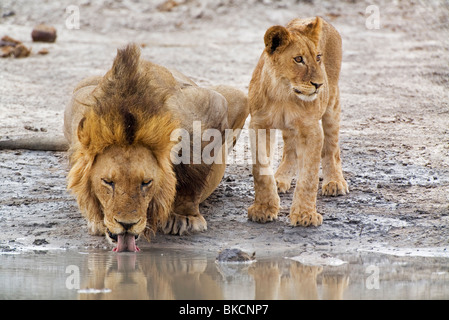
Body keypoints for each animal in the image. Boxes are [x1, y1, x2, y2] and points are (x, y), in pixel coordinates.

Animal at [247, 16, 348, 228]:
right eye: (298, 59)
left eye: (318, 57)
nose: (319, 84)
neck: (283, 94)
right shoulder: (258, 125)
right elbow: (261, 170)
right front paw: (263, 209)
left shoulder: (311, 130)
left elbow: (308, 176)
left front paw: (305, 215)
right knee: (290, 151)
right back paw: (280, 180)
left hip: (332, 103)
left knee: (332, 148)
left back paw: (334, 182)